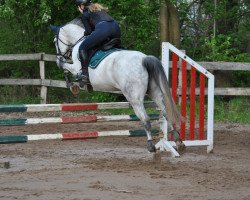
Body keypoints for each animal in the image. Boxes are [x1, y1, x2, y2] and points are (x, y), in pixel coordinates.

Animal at [49, 18, 185, 152]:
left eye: (55, 41)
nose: (59, 56)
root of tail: (144, 59)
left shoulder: (75, 67)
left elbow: (63, 66)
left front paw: (72, 85)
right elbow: (64, 66)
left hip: (134, 98)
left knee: (145, 119)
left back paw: (151, 145)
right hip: (155, 92)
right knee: (166, 113)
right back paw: (178, 141)